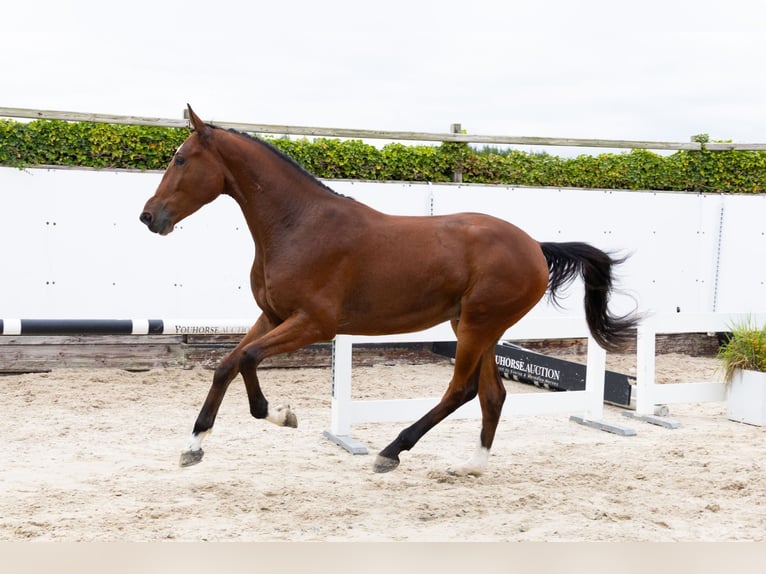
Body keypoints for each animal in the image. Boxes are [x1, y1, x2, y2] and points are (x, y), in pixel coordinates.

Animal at [140, 106, 639, 476]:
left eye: (180, 160)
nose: (149, 216)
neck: (298, 225)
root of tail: (535, 246)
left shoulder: (314, 324)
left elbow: (246, 359)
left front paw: (280, 414)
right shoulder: (274, 316)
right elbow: (226, 364)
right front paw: (194, 444)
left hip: (479, 325)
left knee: (461, 390)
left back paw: (391, 451)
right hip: (475, 326)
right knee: (492, 394)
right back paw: (472, 466)